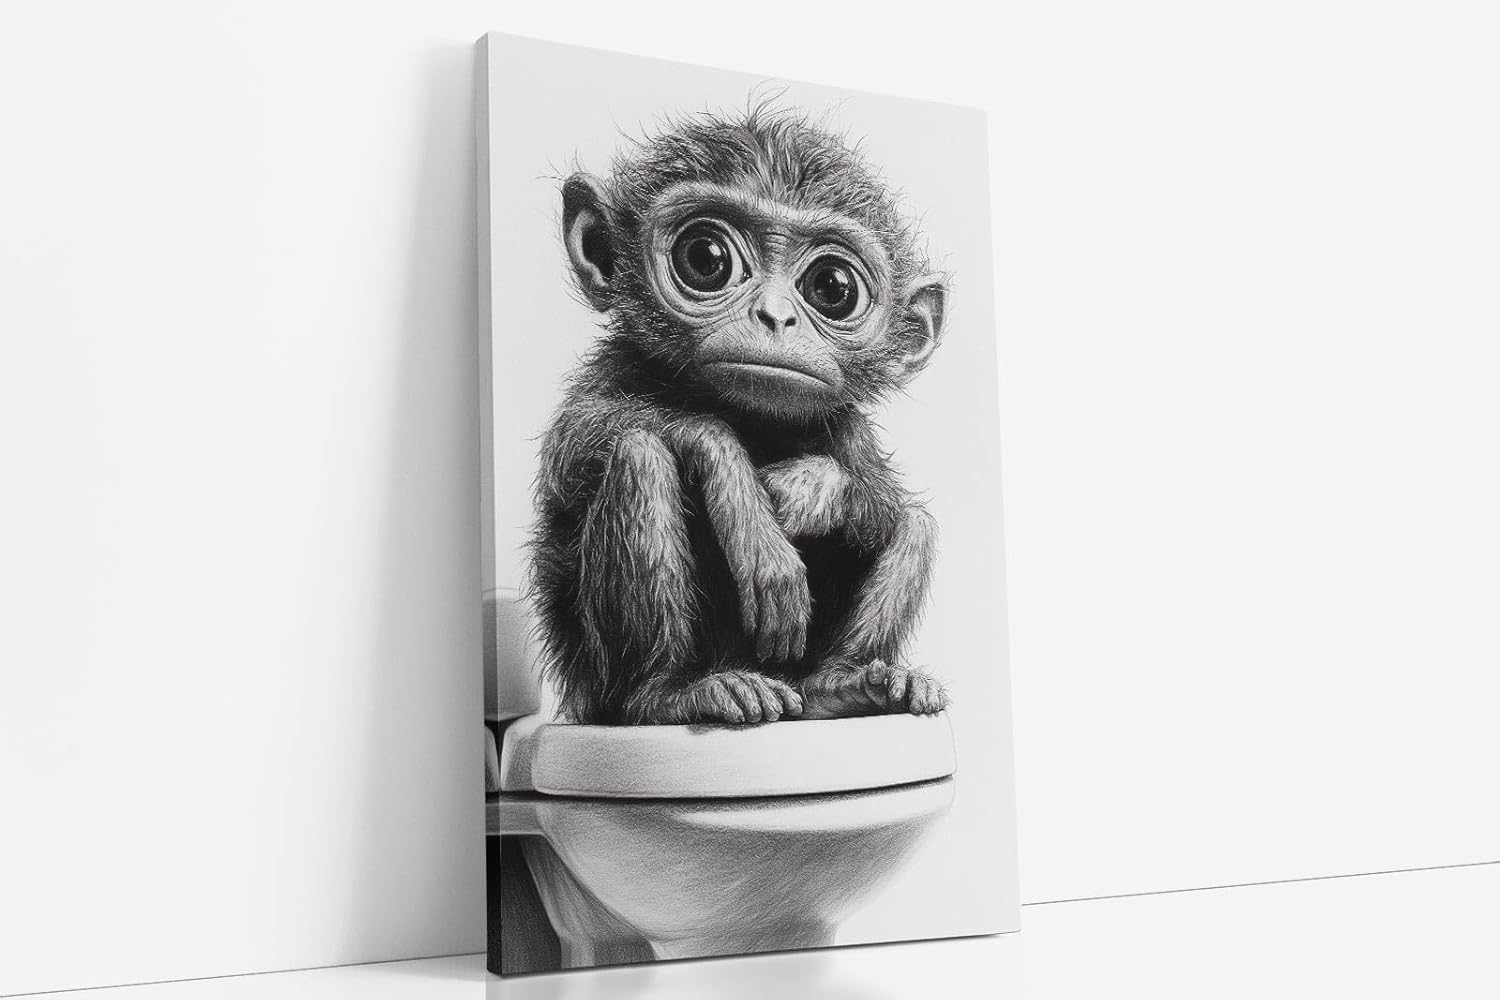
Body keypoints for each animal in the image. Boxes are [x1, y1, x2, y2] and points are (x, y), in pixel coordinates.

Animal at [528, 105, 951, 726]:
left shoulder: (851, 430)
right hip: (595, 687)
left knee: (914, 523)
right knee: (638, 454)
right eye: (706, 259)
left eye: (833, 287)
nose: (774, 316)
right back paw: (672, 692)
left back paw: (842, 684)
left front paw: (811, 489)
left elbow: (881, 503)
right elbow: (575, 444)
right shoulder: (613, 367)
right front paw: (742, 494)